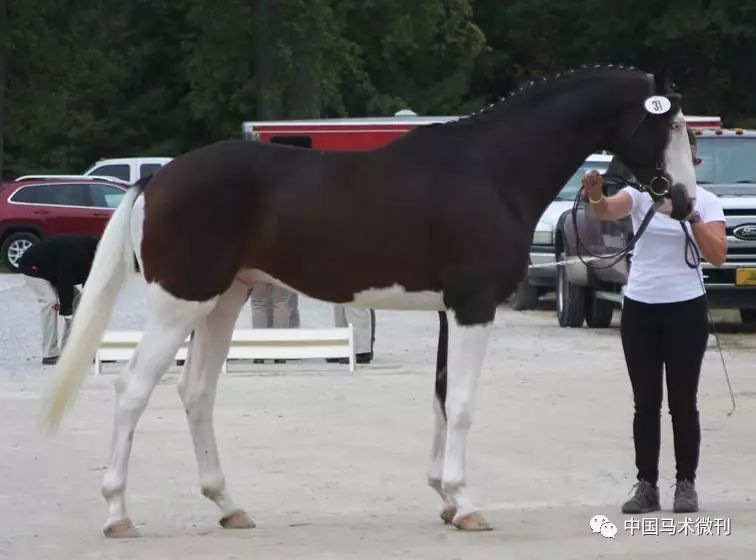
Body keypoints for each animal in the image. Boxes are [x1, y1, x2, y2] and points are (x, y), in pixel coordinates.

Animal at [37, 66, 696, 540]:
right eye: (671, 127)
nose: (684, 202)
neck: (491, 171)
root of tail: (157, 178)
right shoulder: (474, 306)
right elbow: (462, 404)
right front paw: (467, 504)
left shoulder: (448, 310)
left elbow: (441, 396)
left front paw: (444, 497)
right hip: (181, 304)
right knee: (132, 389)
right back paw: (118, 515)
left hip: (223, 302)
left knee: (196, 393)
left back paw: (229, 506)